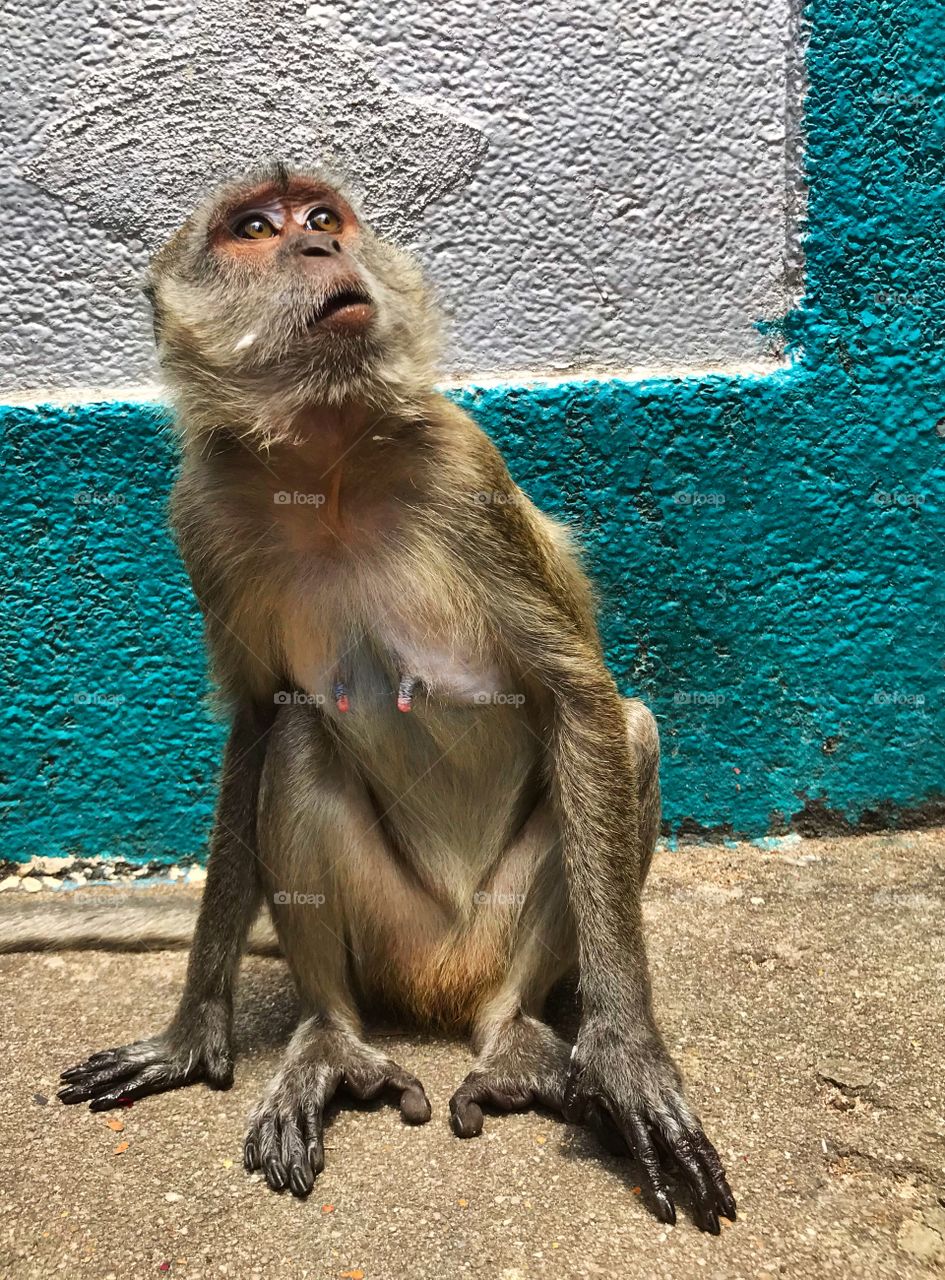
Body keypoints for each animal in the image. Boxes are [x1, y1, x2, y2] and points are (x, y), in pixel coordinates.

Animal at [51, 164, 735, 1232]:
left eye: (322, 217)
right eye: (256, 230)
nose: (319, 247)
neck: (324, 464)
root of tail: (441, 988)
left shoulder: (461, 462)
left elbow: (583, 699)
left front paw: (626, 1057)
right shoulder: (202, 507)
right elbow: (259, 720)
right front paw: (192, 1032)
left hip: (490, 934)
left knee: (628, 732)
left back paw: (515, 1038)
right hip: (388, 936)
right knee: (298, 740)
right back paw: (332, 1039)